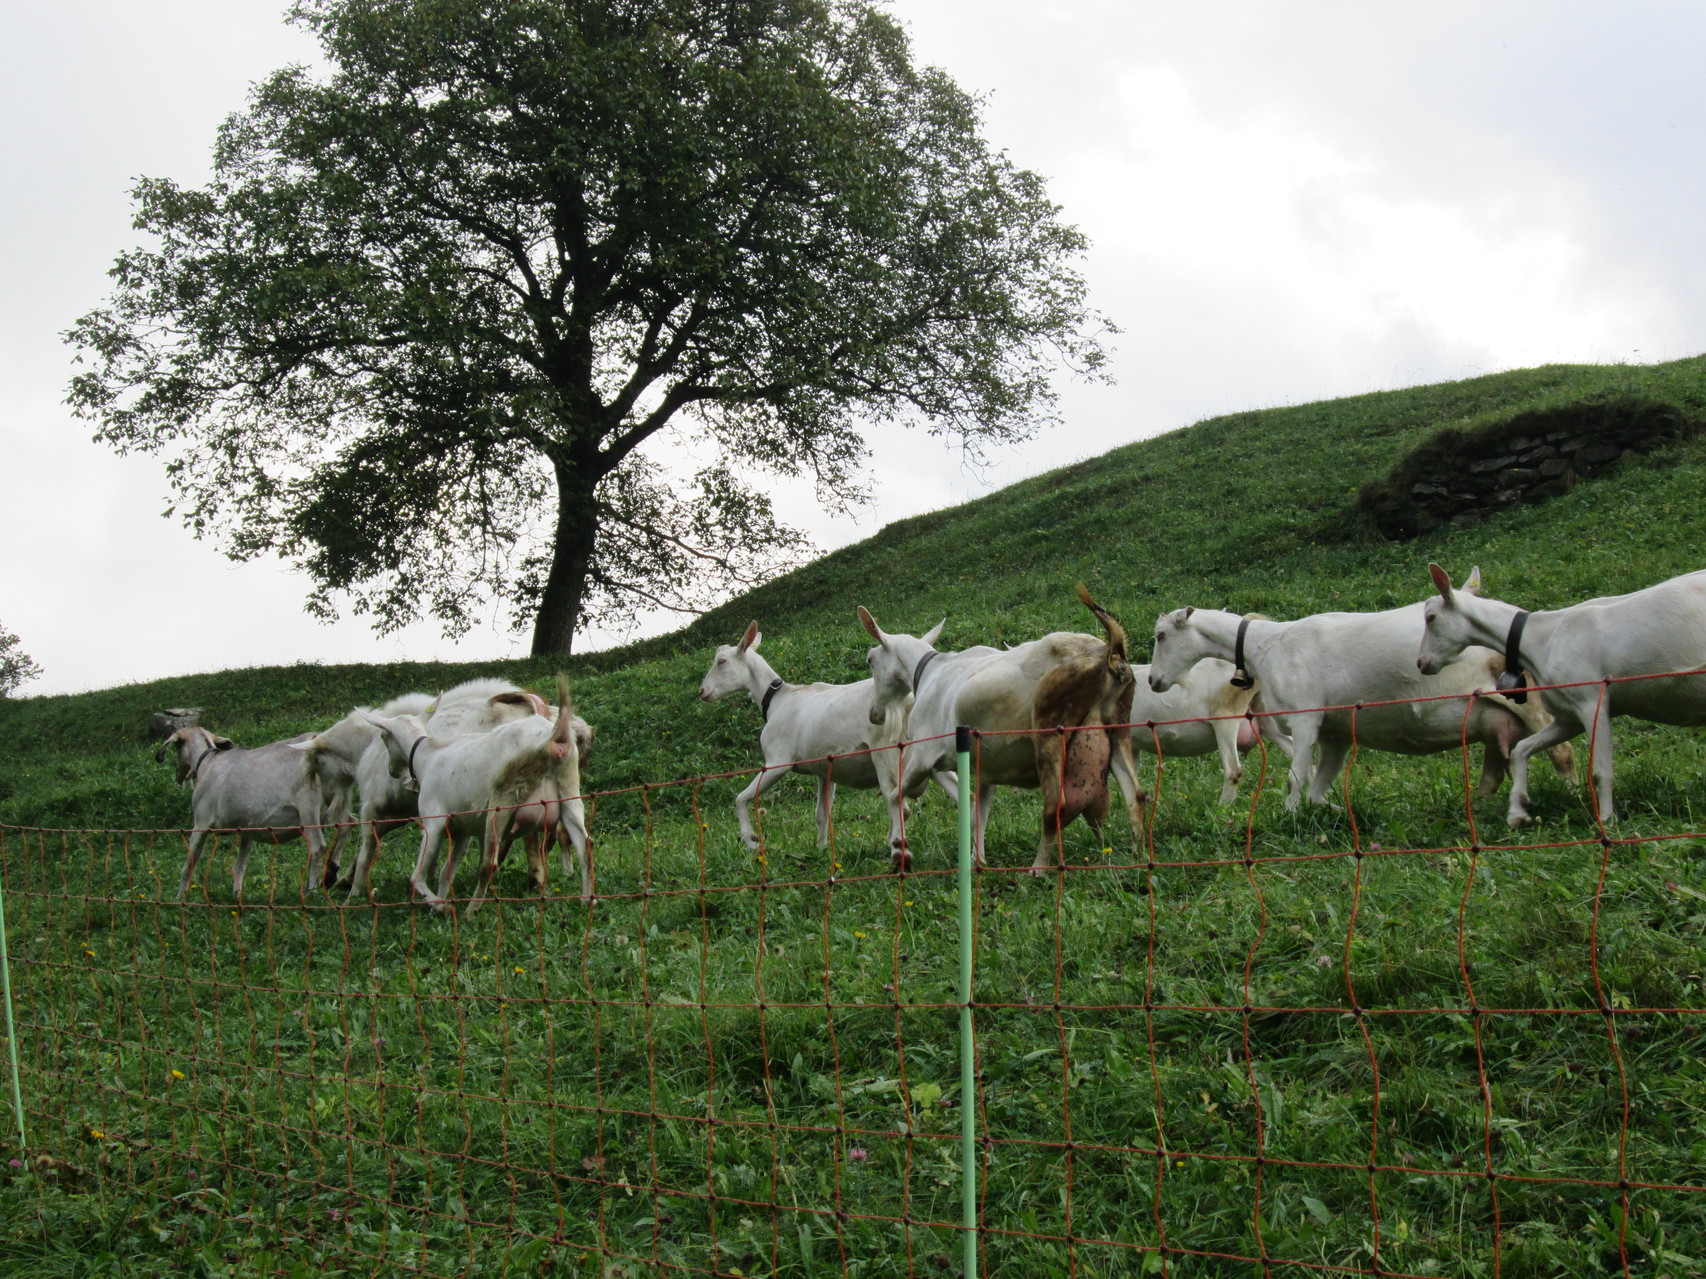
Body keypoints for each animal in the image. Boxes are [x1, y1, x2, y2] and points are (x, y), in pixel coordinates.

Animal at [158, 729, 344, 900]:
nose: (178, 776)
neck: (208, 762)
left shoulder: (201, 822)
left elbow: (190, 861)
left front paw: (179, 898)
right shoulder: (248, 827)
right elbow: (240, 864)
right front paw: (236, 895)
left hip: (308, 807)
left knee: (317, 847)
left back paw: (312, 892)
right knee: (346, 825)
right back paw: (332, 872)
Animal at [358, 682, 586, 914]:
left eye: (383, 736)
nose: (393, 771)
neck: (427, 754)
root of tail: (554, 738)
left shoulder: (434, 821)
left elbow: (417, 877)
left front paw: (441, 907)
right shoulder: (461, 829)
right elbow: (446, 873)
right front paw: (441, 904)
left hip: (503, 802)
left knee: (489, 863)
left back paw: (471, 911)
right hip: (569, 793)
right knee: (583, 845)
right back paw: (586, 899)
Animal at [699, 624, 955, 852]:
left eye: (721, 661)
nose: (702, 692)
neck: (777, 700)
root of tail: (907, 702)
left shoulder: (777, 761)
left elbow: (740, 799)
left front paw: (752, 842)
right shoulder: (824, 769)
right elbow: (822, 813)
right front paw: (821, 850)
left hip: (886, 754)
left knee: (900, 805)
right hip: (924, 755)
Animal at [1146, 572, 1569, 804]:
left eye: (1161, 635)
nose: (1152, 681)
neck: (1266, 644)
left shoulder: (1306, 717)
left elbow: (1295, 778)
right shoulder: (1333, 729)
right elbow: (1317, 787)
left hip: (1525, 699)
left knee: (1562, 752)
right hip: (1491, 714)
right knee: (1496, 764)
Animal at [1412, 562, 1706, 825]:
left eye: (1430, 617)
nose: (1422, 663)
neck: (1542, 638)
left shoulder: (1591, 701)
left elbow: (1601, 770)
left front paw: (1606, 821)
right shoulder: (1568, 717)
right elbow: (1521, 749)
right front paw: (1518, 812)